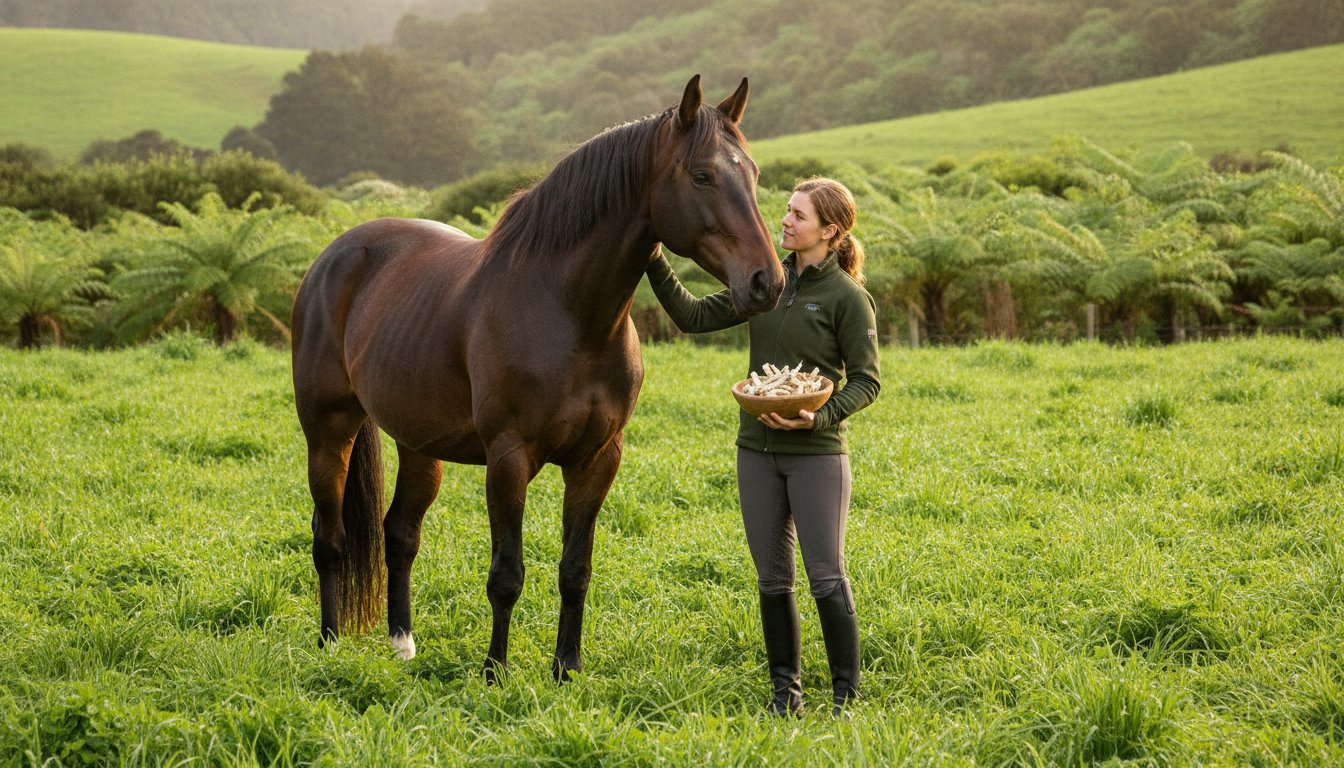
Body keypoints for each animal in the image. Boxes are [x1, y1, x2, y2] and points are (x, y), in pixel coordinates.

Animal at [290, 75, 785, 682]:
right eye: (701, 175)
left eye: (754, 173)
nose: (767, 281)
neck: (569, 315)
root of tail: (336, 255)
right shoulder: (509, 459)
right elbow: (507, 574)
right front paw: (494, 671)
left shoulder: (597, 460)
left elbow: (575, 569)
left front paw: (566, 668)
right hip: (328, 432)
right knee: (330, 538)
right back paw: (330, 642)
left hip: (418, 443)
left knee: (400, 533)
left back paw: (402, 643)